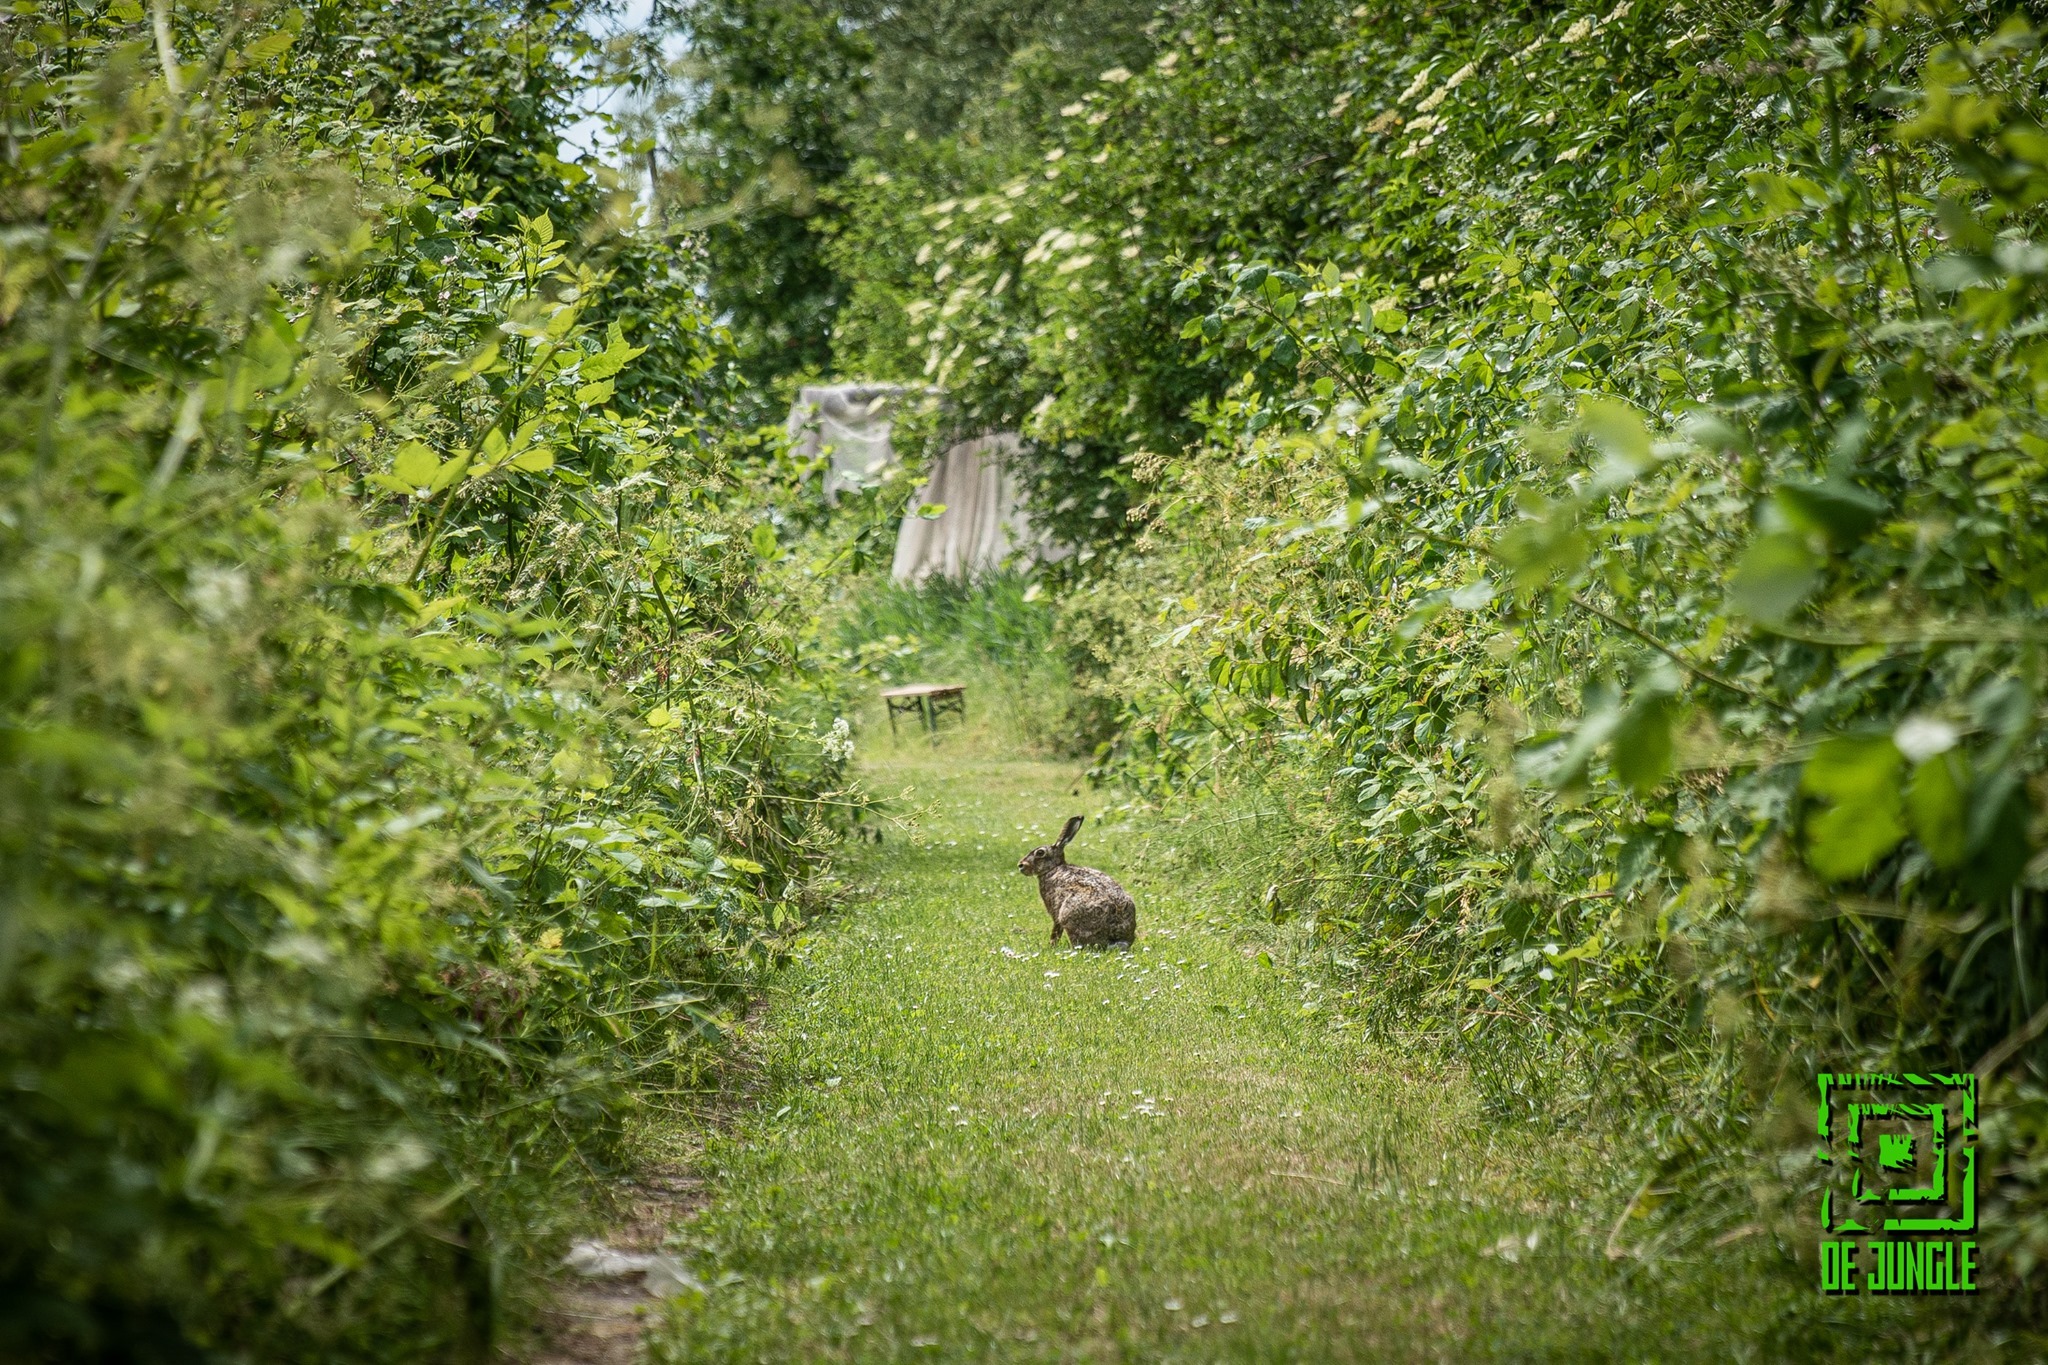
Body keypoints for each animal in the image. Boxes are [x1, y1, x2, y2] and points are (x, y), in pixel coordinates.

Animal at [1018, 815, 1137, 947]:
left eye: (1040, 852)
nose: (1020, 865)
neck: (1053, 868)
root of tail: (1117, 940)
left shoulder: (1055, 911)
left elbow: (1056, 929)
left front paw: (1051, 945)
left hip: (1070, 915)